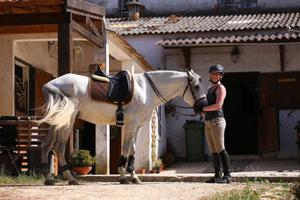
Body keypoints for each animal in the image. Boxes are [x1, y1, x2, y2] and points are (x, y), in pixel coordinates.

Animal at [35, 69, 206, 185]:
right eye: (197, 86)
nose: (203, 105)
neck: (146, 90)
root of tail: (50, 85)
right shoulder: (130, 125)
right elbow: (125, 149)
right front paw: (124, 177)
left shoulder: (137, 126)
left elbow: (132, 150)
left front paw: (134, 176)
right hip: (67, 121)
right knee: (58, 147)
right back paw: (70, 178)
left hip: (58, 121)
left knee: (46, 145)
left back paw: (48, 178)